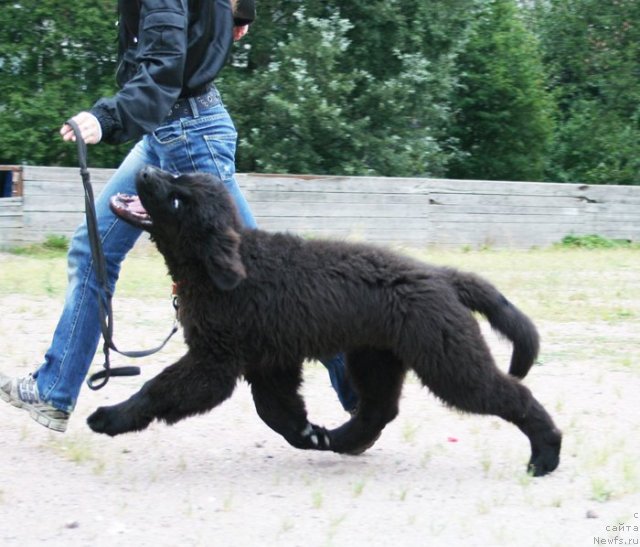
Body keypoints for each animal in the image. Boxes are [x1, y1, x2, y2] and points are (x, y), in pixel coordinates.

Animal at [89, 166, 560, 476]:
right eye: (175, 176)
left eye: (176, 200)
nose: (144, 169)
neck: (225, 269)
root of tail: (442, 276)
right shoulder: (269, 364)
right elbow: (277, 414)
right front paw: (310, 433)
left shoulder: (214, 362)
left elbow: (157, 389)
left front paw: (109, 417)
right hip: (375, 358)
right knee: (378, 410)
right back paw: (341, 439)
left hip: (448, 361)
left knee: (513, 395)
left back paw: (546, 455)